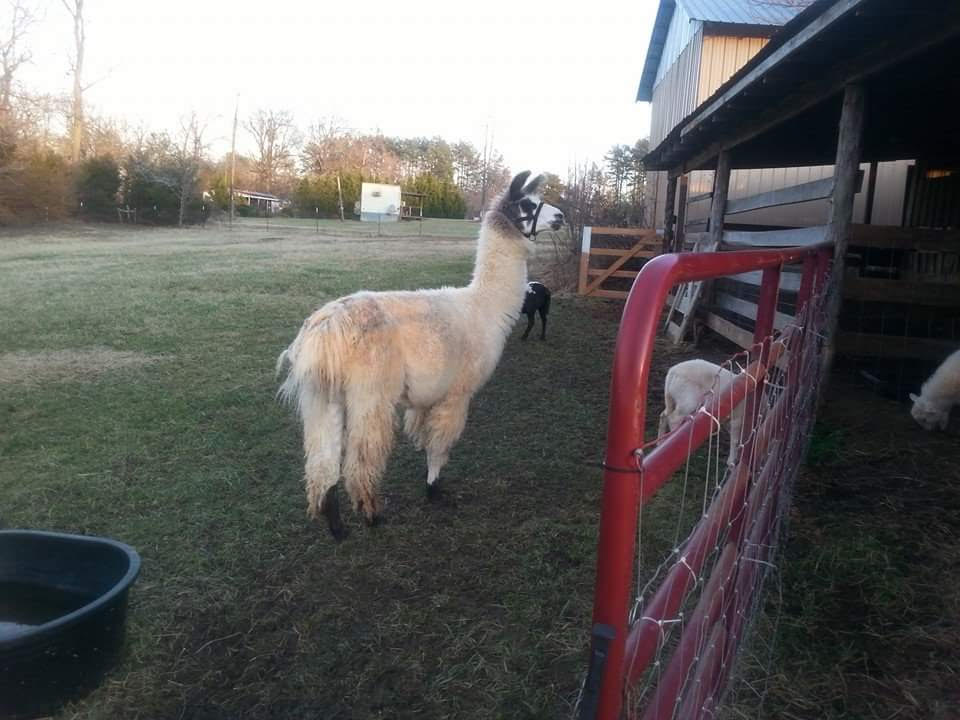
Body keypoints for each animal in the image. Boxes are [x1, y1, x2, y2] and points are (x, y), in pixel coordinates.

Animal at [274, 172, 564, 536]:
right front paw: (434, 490)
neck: (483, 308)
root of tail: (325, 329)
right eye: (527, 203)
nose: (561, 216)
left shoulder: (427, 396)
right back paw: (372, 515)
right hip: (370, 391)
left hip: (322, 396)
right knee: (361, 458)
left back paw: (337, 527)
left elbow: (425, 439)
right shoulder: (457, 392)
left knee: (321, 458)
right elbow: (440, 444)